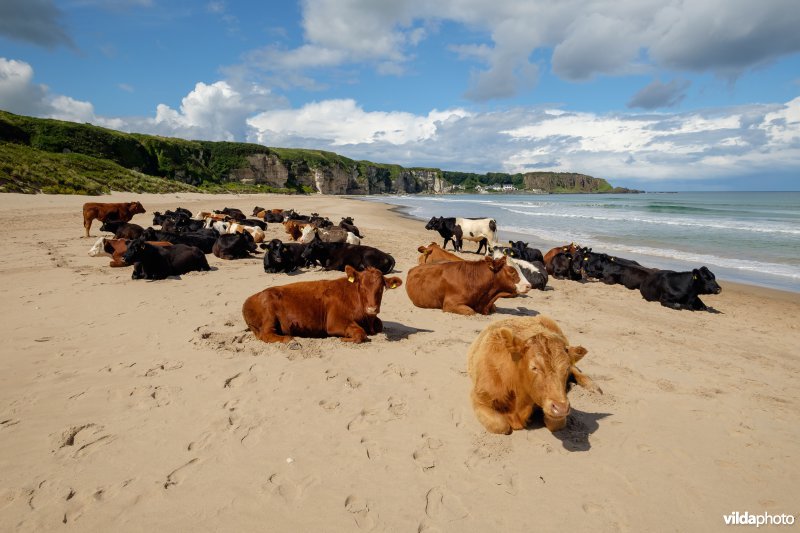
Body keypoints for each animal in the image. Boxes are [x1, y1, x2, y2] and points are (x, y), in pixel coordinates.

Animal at [241, 264, 404, 342]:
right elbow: (360, 333)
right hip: (269, 314)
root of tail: (251, 297)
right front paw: (344, 339)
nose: (372, 309)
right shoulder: (335, 322)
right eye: (362, 287)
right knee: (266, 334)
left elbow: (380, 324)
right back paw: (290, 340)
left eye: (381, 288)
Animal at [466, 316, 604, 432]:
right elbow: (501, 425)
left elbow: (556, 423)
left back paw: (593, 386)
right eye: (534, 367)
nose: (561, 408)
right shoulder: (478, 397)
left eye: (565, 368)